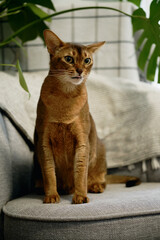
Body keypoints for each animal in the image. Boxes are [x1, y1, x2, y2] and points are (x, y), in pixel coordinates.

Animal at [34, 29, 140, 203]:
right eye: (68, 59)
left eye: (87, 60)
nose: (80, 70)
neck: (66, 96)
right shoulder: (43, 142)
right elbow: (49, 174)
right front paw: (51, 196)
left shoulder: (82, 141)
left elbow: (80, 173)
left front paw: (80, 196)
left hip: (100, 150)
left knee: (102, 180)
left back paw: (95, 186)